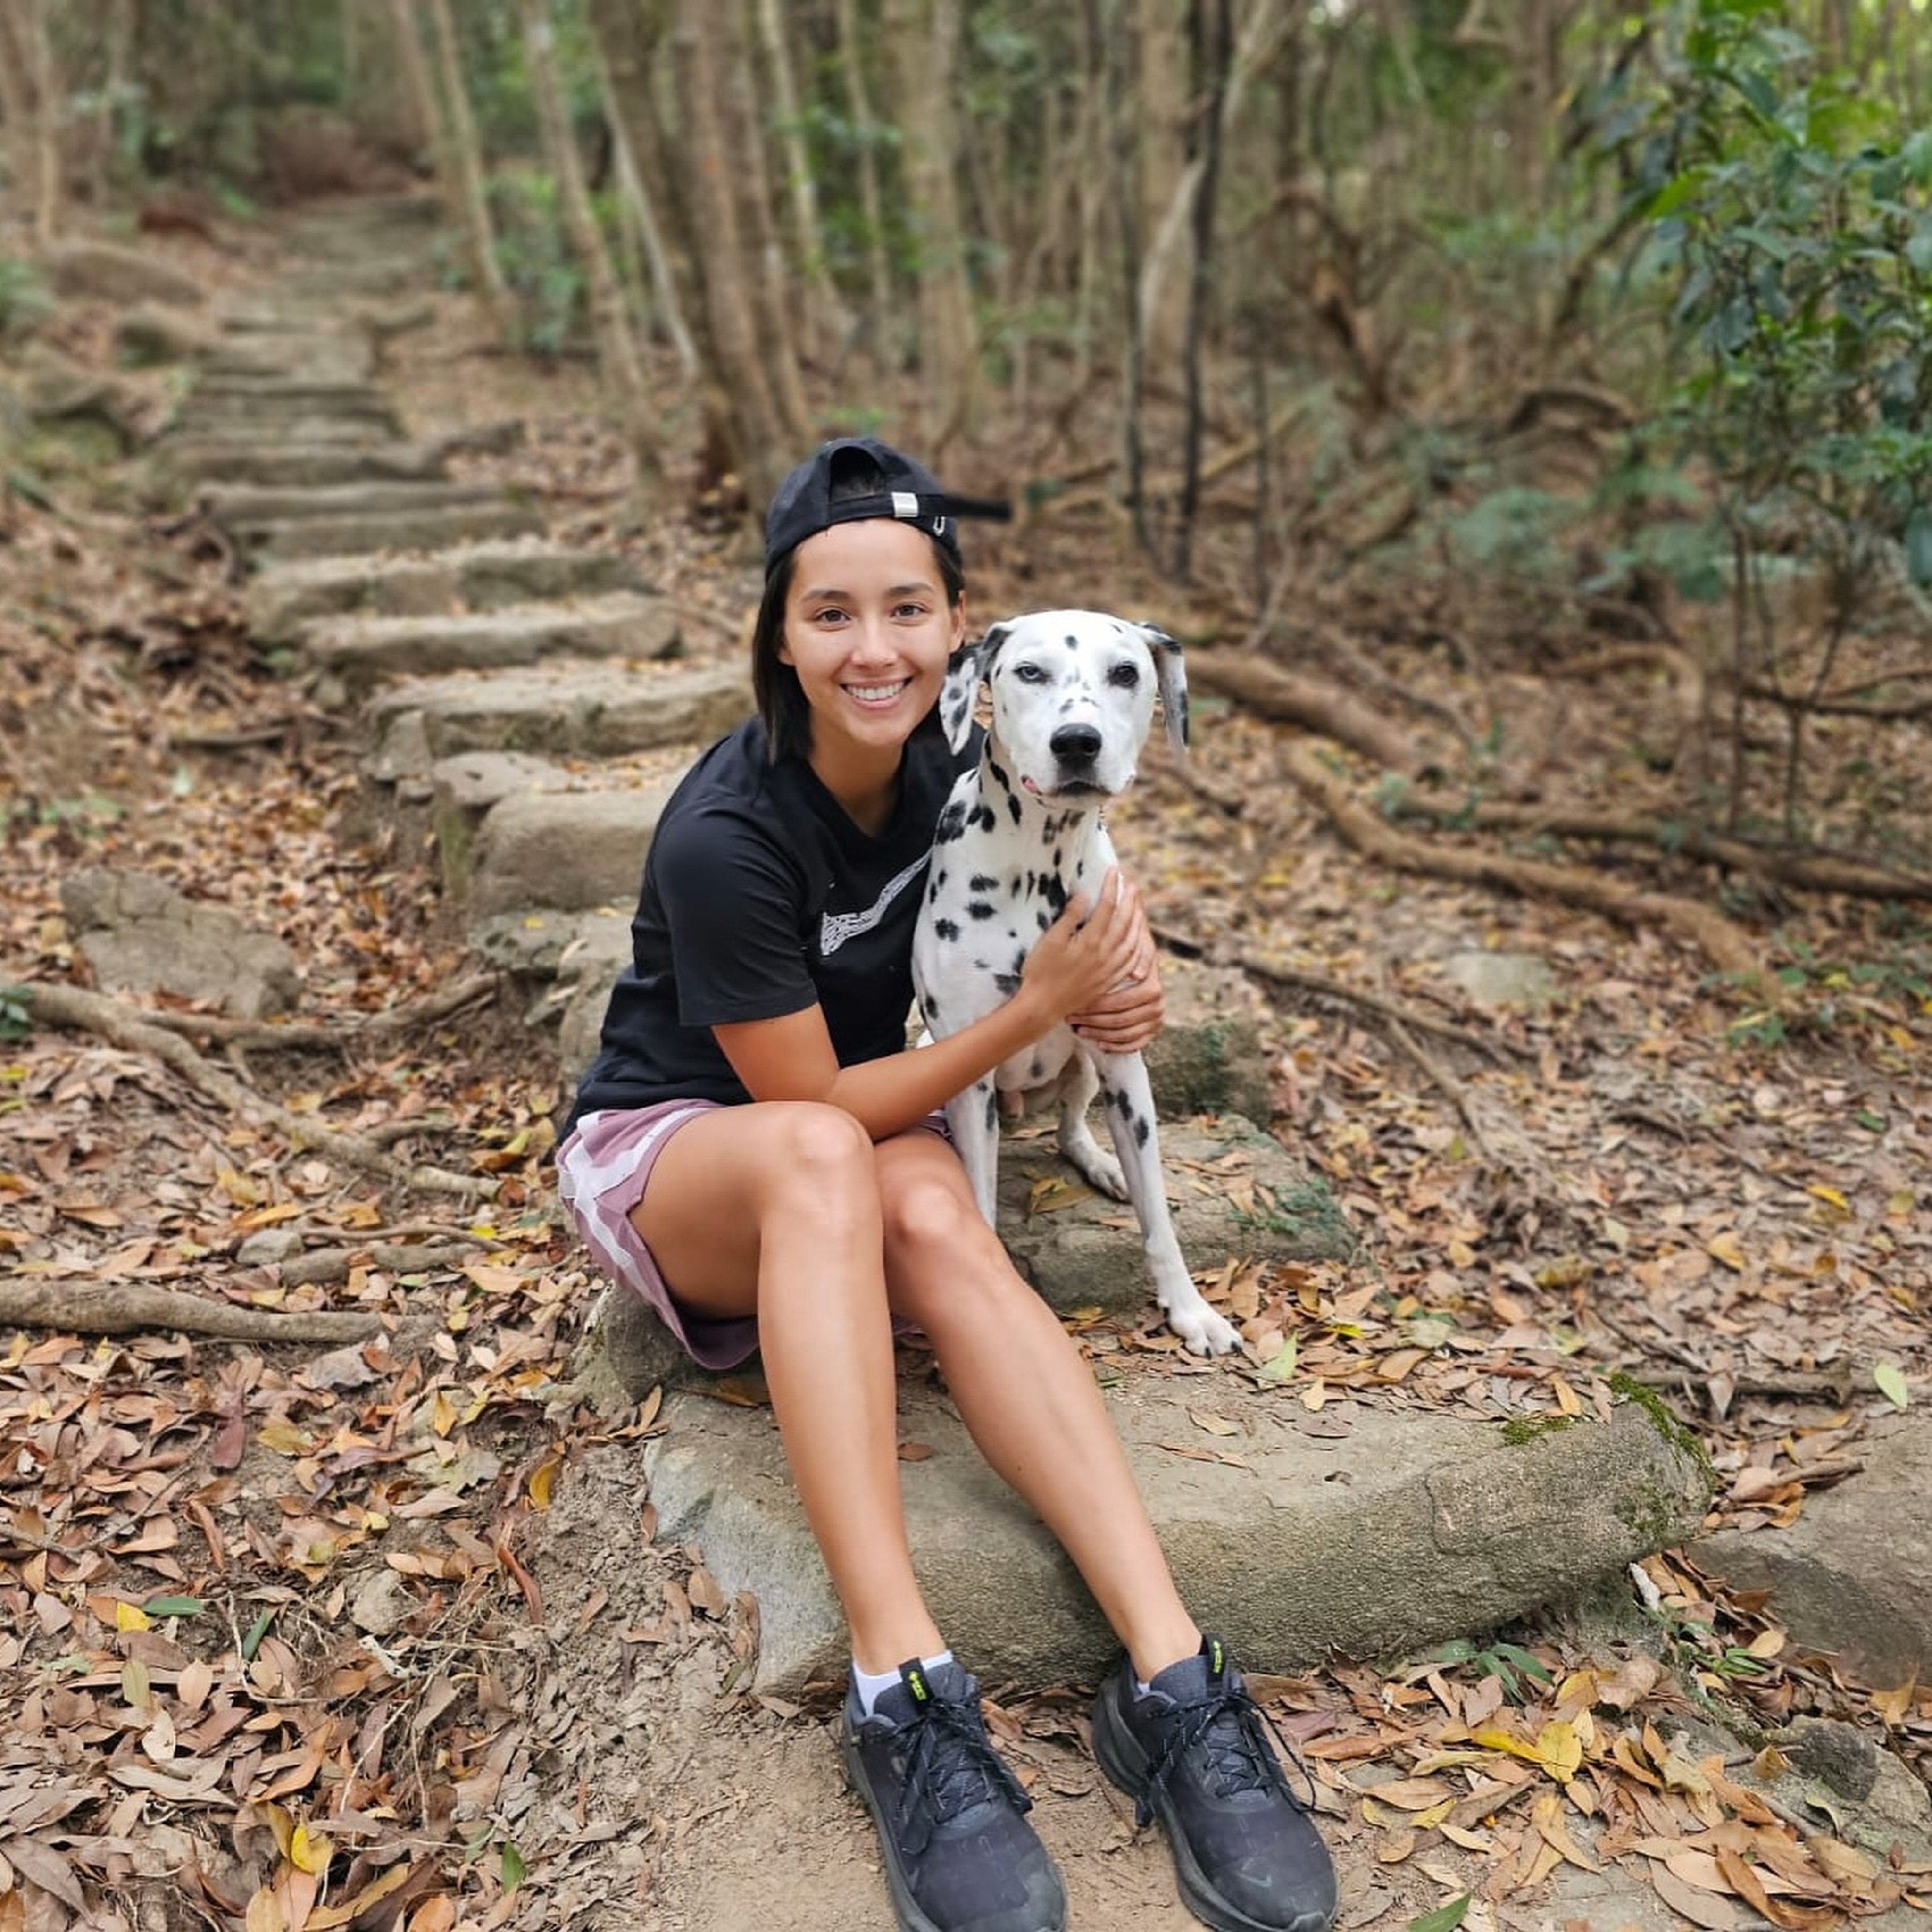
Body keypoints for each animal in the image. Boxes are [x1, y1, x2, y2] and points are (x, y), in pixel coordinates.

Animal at [908, 607, 1236, 1360]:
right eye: (1029, 672)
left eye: (1126, 673)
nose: (1079, 742)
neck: (1041, 864)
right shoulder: (969, 1079)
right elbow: (978, 1204)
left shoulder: (1124, 1058)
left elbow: (1159, 1217)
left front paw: (1190, 1309)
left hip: (1092, 1065)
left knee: (1069, 1125)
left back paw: (1101, 1162)